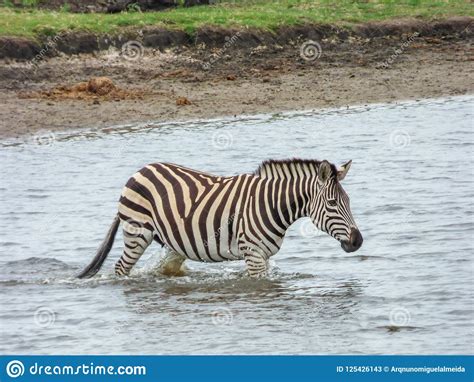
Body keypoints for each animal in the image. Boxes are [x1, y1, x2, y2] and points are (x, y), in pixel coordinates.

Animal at [78, 157, 362, 278]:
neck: (270, 204)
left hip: (173, 243)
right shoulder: (254, 254)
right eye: (333, 203)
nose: (358, 241)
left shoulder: (263, 255)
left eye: (349, 201)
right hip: (137, 234)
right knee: (120, 268)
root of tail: (139, 171)